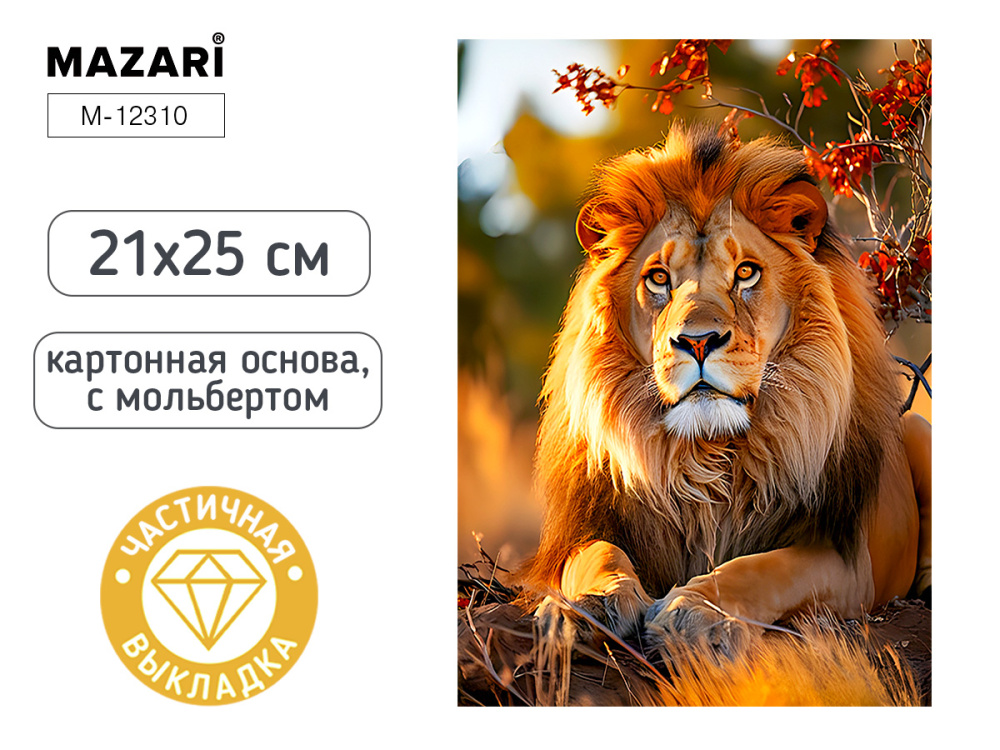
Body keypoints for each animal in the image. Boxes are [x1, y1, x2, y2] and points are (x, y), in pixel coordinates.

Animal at [521, 126, 932, 657]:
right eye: (659, 279)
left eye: (745, 272)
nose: (697, 341)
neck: (710, 454)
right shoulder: (586, 528)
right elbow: (598, 555)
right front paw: (588, 606)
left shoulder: (844, 558)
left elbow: (761, 569)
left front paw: (693, 611)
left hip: (918, 427)